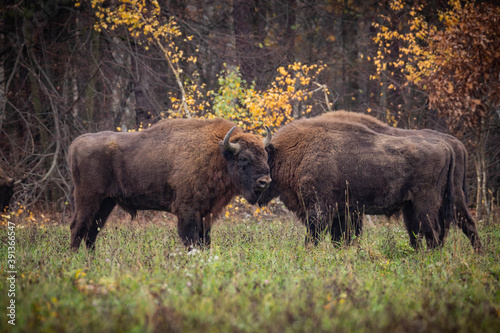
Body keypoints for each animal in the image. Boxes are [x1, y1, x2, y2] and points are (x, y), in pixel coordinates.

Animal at [68, 116, 272, 249]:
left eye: (265, 154)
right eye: (244, 158)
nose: (265, 181)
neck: (218, 154)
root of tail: (76, 143)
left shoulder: (206, 213)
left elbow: (204, 240)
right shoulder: (188, 211)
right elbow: (191, 239)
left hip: (106, 202)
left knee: (92, 231)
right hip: (88, 198)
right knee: (78, 226)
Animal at [258, 116, 458, 249]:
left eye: (262, 158)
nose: (261, 183)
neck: (299, 151)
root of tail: (444, 147)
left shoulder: (318, 210)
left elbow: (313, 237)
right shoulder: (340, 212)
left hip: (425, 203)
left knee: (433, 231)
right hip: (412, 205)